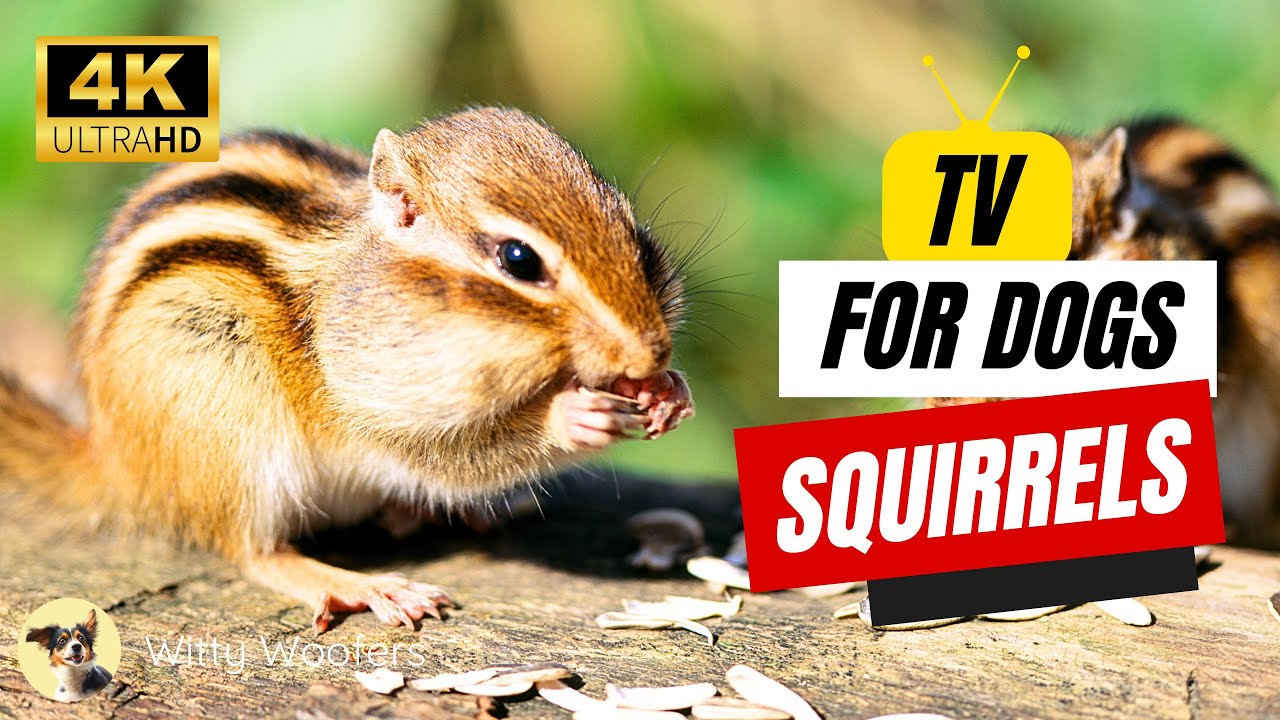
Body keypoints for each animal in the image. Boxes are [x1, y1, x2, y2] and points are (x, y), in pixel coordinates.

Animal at [0, 107, 695, 631]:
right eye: (518, 259)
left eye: (635, 233)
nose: (650, 353)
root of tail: (113, 461)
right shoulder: (370, 397)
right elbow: (445, 453)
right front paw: (574, 416)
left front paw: (669, 392)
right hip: (224, 423)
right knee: (252, 548)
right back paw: (361, 583)